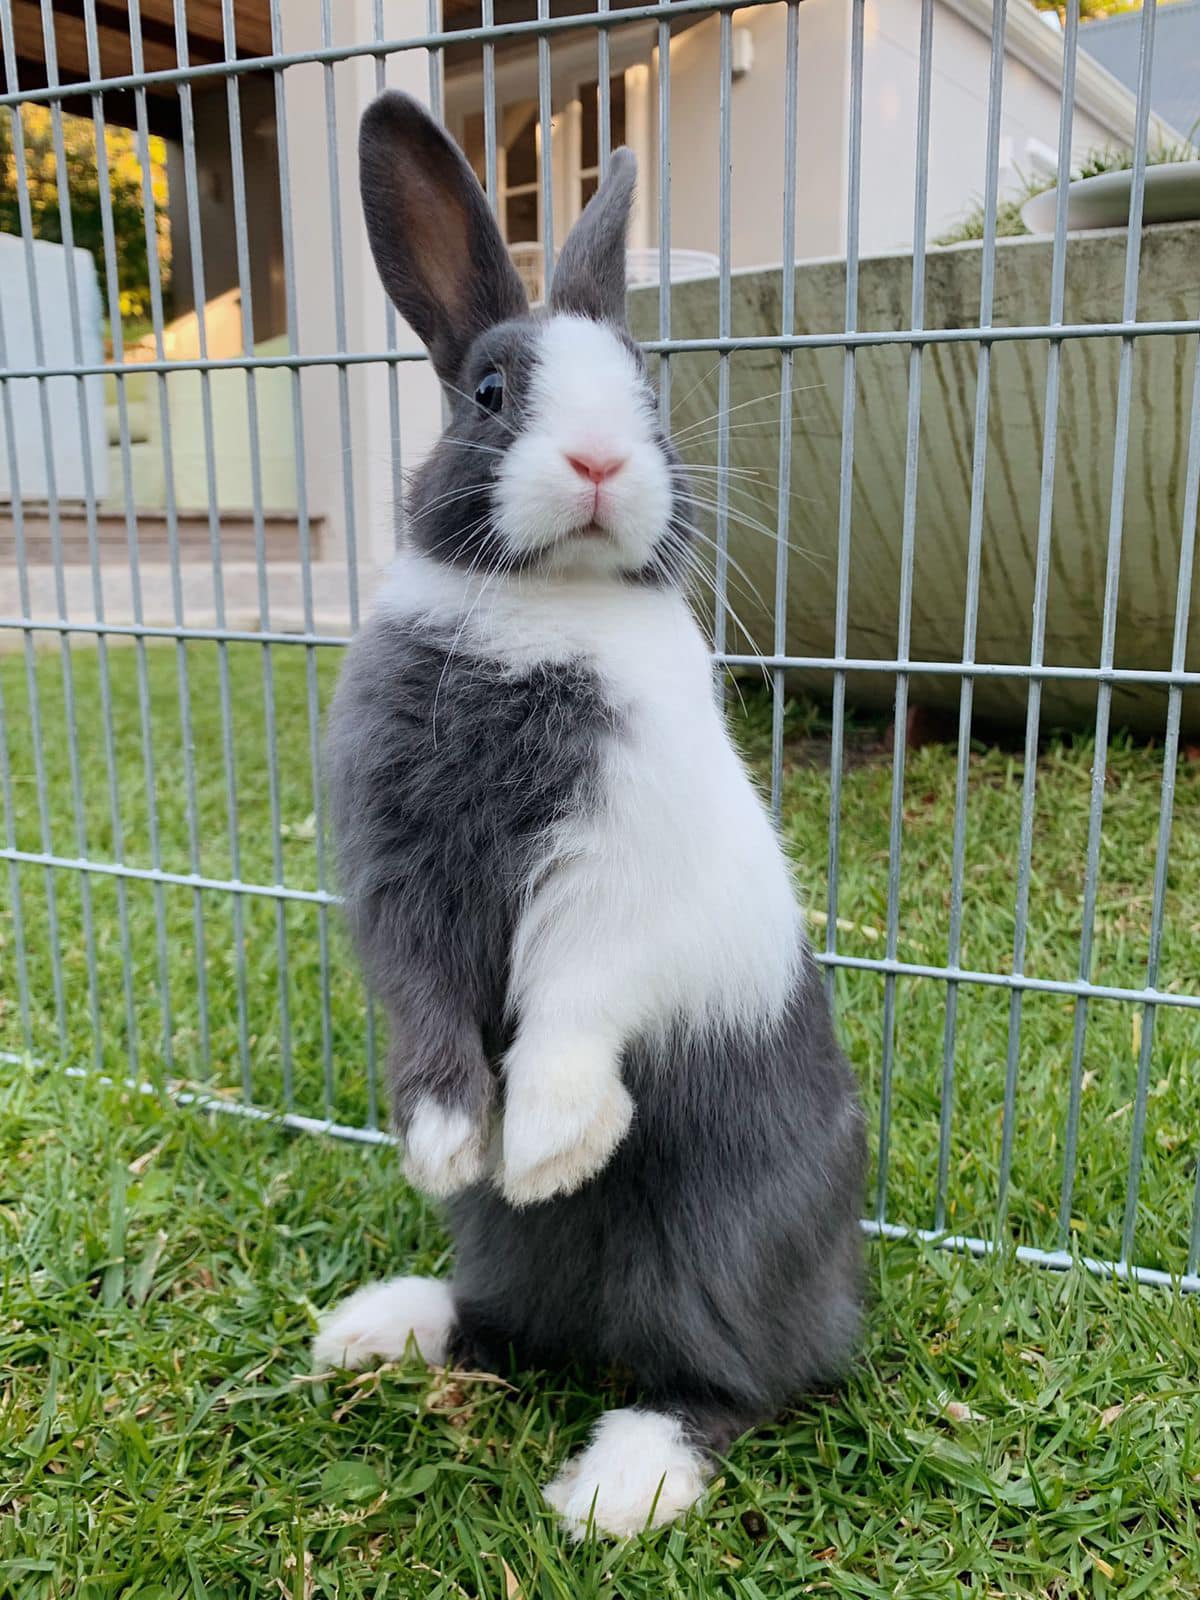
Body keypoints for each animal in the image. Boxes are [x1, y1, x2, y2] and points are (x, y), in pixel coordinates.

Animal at [313, 89, 867, 1540]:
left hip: (725, 1239)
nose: (602, 459)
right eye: (492, 392)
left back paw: (621, 1482)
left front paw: (554, 1142)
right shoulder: (398, 876)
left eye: (648, 388)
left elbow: (572, 1000)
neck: (539, 612)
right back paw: (377, 1328)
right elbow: (427, 1012)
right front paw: (450, 1144)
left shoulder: (613, 875)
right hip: (518, 1261)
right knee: (509, 1319)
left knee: (736, 1378)